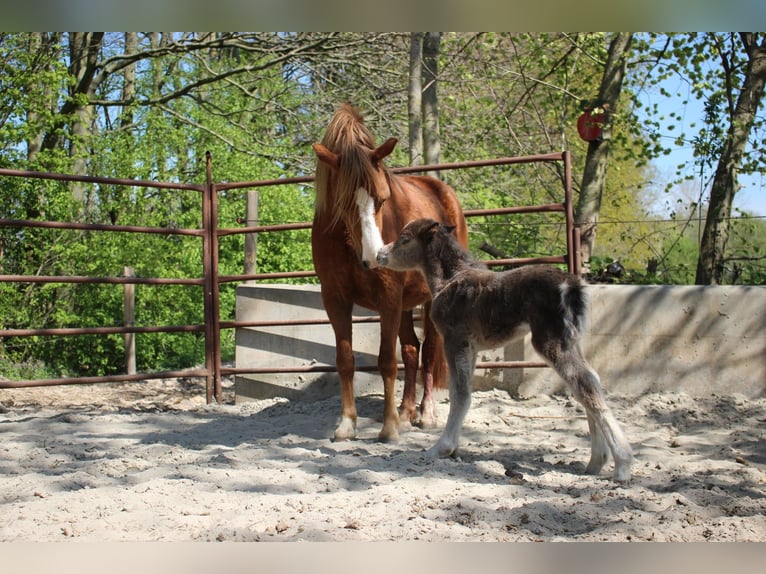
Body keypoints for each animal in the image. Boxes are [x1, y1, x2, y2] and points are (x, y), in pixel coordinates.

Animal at [312, 104, 468, 446]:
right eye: (343, 202)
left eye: (383, 199)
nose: (375, 256)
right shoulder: (335, 300)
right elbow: (345, 361)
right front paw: (347, 424)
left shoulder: (388, 298)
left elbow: (385, 361)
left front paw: (388, 428)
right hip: (406, 304)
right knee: (411, 350)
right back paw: (406, 411)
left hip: (430, 299)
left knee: (430, 351)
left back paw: (425, 414)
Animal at [378, 218, 636, 484]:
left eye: (405, 239)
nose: (380, 254)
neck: (450, 280)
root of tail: (572, 285)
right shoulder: (471, 346)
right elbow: (464, 391)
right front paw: (455, 451)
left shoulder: (455, 340)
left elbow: (460, 394)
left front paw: (442, 448)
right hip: (572, 340)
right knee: (588, 380)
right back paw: (596, 462)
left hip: (551, 341)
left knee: (584, 383)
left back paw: (622, 464)